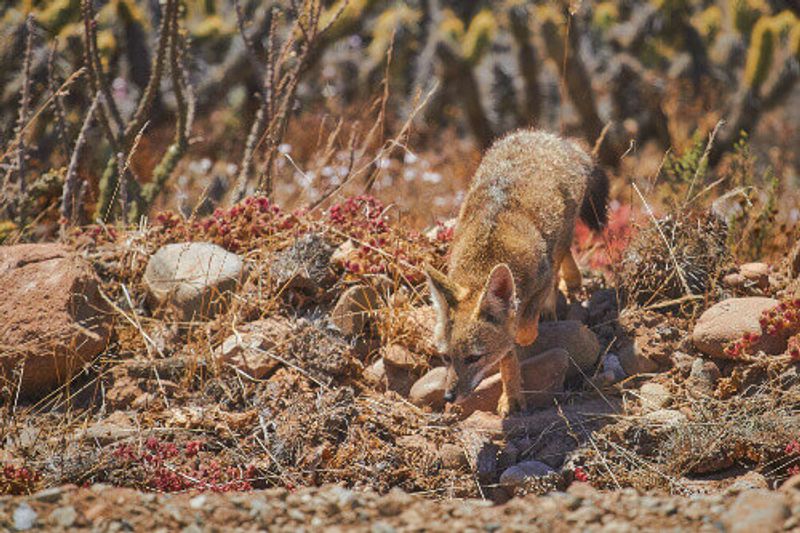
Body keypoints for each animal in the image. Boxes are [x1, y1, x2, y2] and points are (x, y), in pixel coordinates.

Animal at [424, 129, 608, 416]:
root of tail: (546, 136)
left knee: (563, 252)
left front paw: (528, 327)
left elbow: (523, 330)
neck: (485, 259)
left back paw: (566, 286)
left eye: (474, 358)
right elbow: (507, 359)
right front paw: (510, 397)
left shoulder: (541, 279)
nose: (448, 397)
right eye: (446, 357)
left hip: (563, 231)